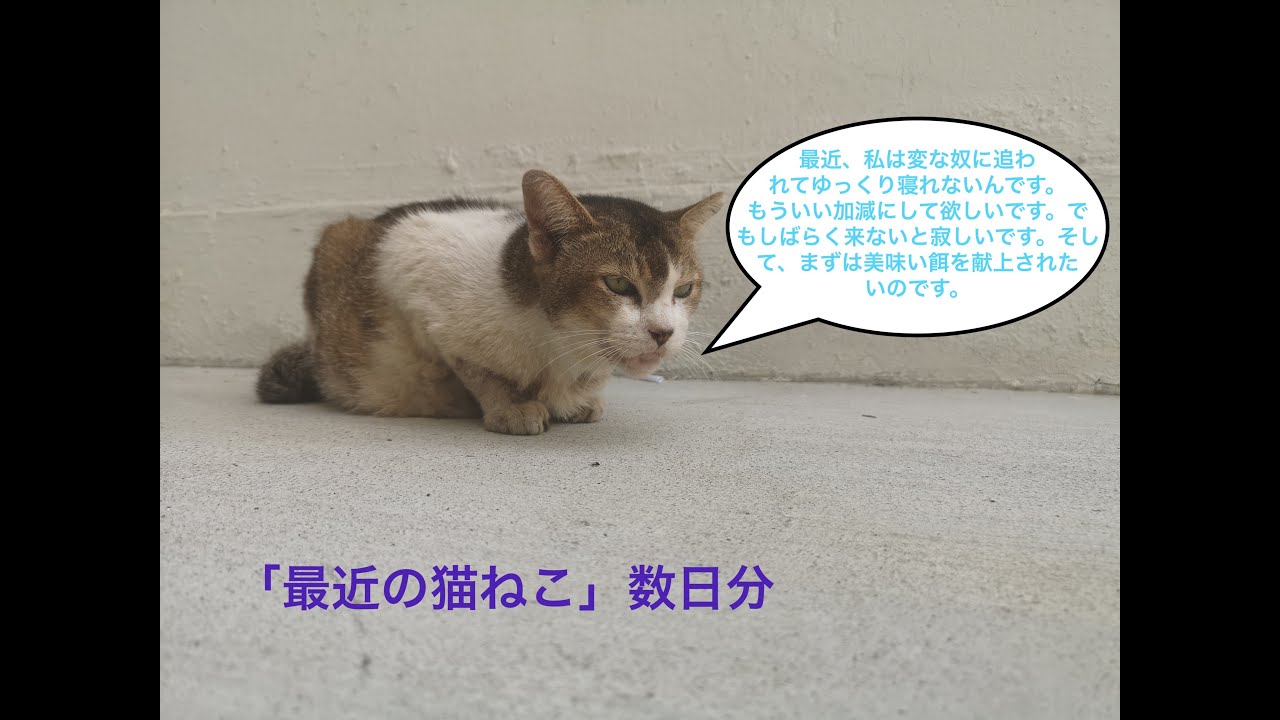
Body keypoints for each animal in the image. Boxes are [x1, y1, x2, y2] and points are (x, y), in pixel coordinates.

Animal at [256, 169, 723, 435]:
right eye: (618, 284)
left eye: (683, 290)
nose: (663, 333)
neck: (554, 340)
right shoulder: (410, 276)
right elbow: (478, 370)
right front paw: (511, 406)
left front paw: (578, 399)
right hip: (338, 240)